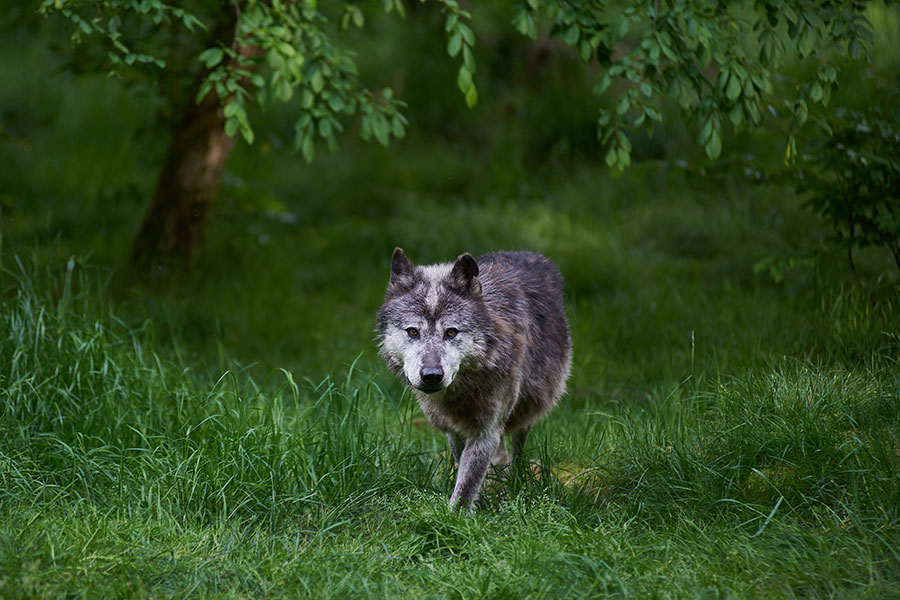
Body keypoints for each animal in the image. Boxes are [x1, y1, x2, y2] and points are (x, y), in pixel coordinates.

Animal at [376, 246, 572, 508]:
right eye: (413, 332)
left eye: (451, 332)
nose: (431, 375)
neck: (464, 388)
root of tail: (531, 255)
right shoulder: (454, 430)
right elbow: (465, 469)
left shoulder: (486, 430)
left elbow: (467, 482)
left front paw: (456, 516)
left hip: (527, 408)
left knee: (517, 449)